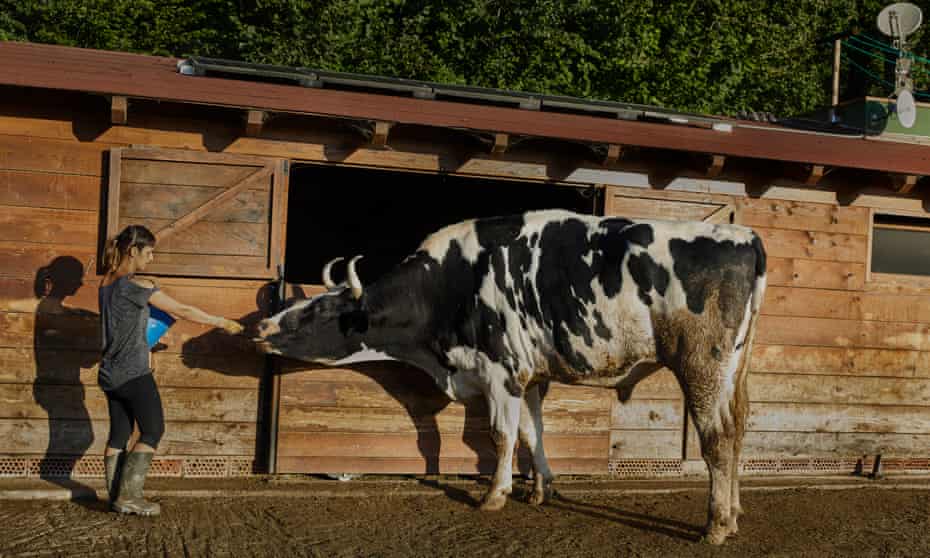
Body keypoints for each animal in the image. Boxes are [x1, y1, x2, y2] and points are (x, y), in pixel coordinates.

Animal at [252, 210, 760, 548]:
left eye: (317, 310)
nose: (259, 329)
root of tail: (744, 235)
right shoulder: (529, 375)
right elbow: (532, 432)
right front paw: (540, 489)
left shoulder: (501, 374)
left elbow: (501, 435)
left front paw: (494, 495)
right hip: (735, 372)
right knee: (738, 434)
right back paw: (735, 513)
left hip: (703, 365)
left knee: (717, 439)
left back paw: (715, 525)